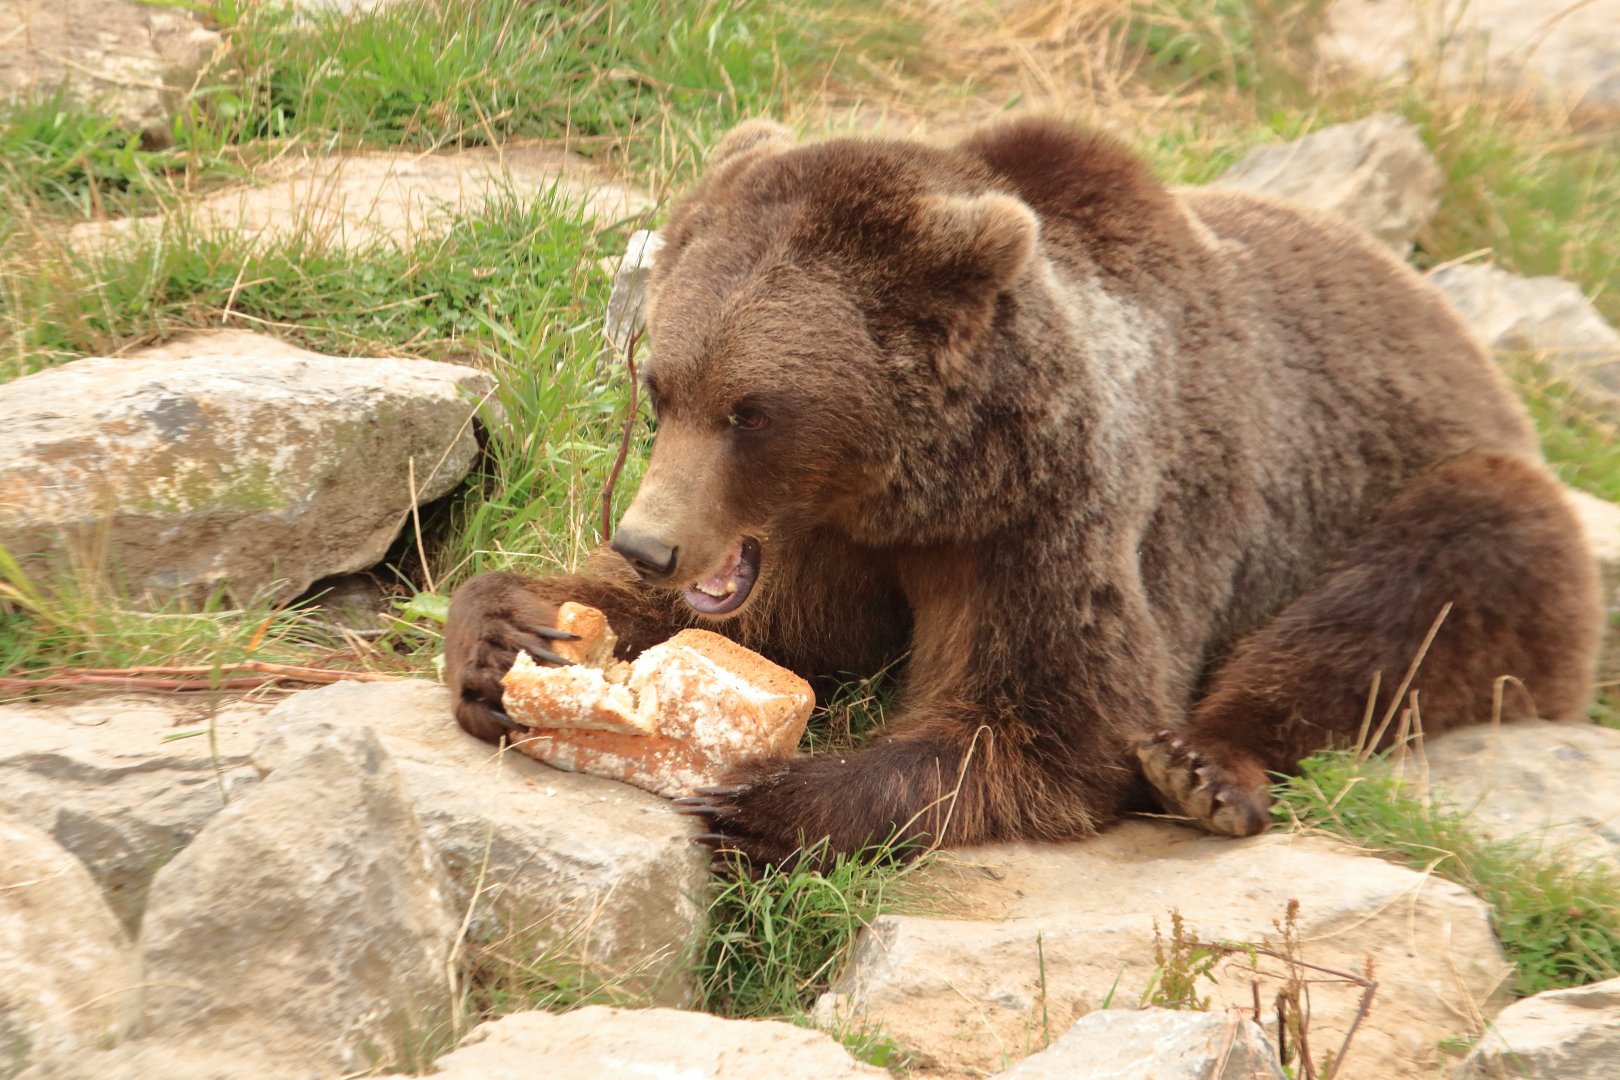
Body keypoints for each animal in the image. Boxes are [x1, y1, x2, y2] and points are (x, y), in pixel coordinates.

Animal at [444, 117, 1602, 867]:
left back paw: (1202, 766)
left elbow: (1057, 718)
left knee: (1427, 589)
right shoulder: (836, 538)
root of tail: (1469, 351)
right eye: (663, 384)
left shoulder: (1057, 524)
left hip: (1437, 494)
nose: (648, 542)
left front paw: (769, 796)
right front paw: (508, 632)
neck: (925, 485)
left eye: (752, 410)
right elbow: (771, 628)